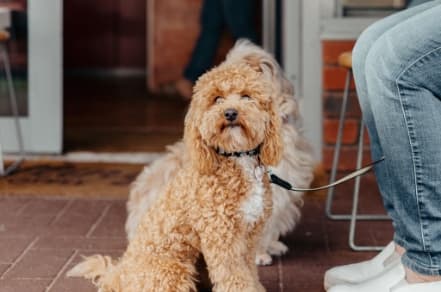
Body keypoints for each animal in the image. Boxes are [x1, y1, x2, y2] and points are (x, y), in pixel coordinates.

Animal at [67, 54, 284, 290]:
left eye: (246, 96)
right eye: (217, 99)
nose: (230, 113)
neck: (237, 157)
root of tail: (119, 274)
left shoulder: (250, 235)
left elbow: (250, 273)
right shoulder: (223, 238)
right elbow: (235, 277)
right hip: (173, 270)